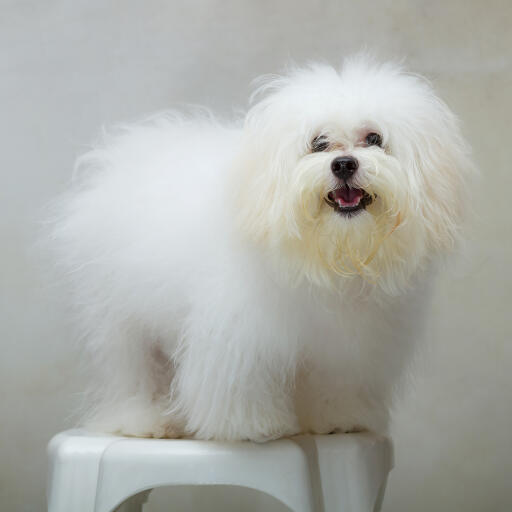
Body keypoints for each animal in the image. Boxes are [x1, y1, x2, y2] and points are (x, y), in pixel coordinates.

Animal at [52, 55, 472, 440]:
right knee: (132, 374)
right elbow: (240, 382)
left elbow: (335, 382)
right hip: (119, 320)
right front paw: (251, 426)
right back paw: (146, 422)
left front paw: (337, 418)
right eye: (318, 143)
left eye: (374, 139)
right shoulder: (240, 333)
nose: (343, 164)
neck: (329, 254)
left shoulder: (345, 347)